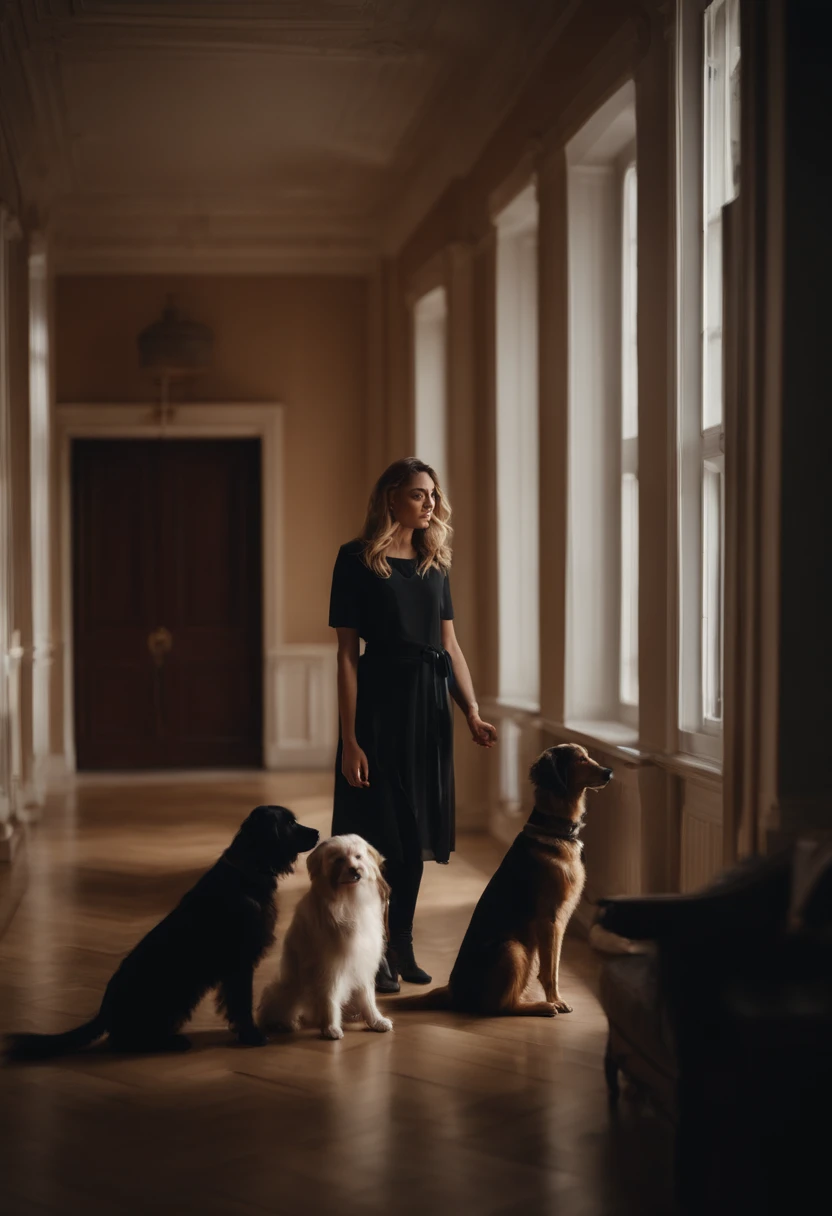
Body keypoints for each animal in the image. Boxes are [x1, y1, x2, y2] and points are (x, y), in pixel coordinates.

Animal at [5, 802, 318, 1060]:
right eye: (290, 823)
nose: (317, 832)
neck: (244, 872)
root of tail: (105, 1011)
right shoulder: (239, 961)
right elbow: (241, 1002)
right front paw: (252, 1036)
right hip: (174, 998)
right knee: (124, 1041)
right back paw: (172, 1042)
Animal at [256, 836, 394, 1045]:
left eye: (358, 856)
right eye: (339, 860)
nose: (355, 870)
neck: (348, 899)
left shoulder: (362, 962)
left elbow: (368, 997)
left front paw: (376, 1021)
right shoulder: (330, 966)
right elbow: (330, 996)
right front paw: (331, 1028)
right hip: (290, 986)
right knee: (277, 1007)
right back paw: (285, 1023)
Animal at [394, 739, 613, 1016]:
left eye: (589, 756)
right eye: (580, 759)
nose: (609, 772)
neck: (554, 828)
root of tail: (453, 991)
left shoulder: (559, 923)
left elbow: (551, 966)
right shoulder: (550, 919)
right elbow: (550, 970)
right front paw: (556, 999)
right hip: (513, 949)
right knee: (502, 1006)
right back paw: (541, 1006)